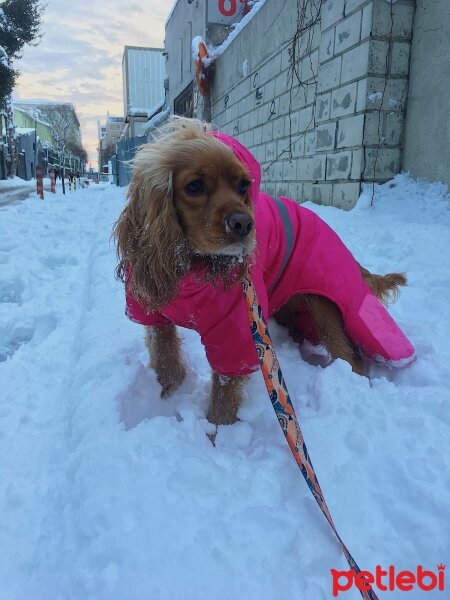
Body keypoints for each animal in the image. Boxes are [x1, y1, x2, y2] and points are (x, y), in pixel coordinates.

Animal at [115, 117, 414, 426]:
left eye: (243, 185)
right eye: (195, 186)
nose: (244, 224)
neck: (190, 266)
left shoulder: (237, 331)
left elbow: (224, 395)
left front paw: (216, 434)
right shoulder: (153, 314)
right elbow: (166, 361)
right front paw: (166, 397)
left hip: (324, 309)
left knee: (352, 358)